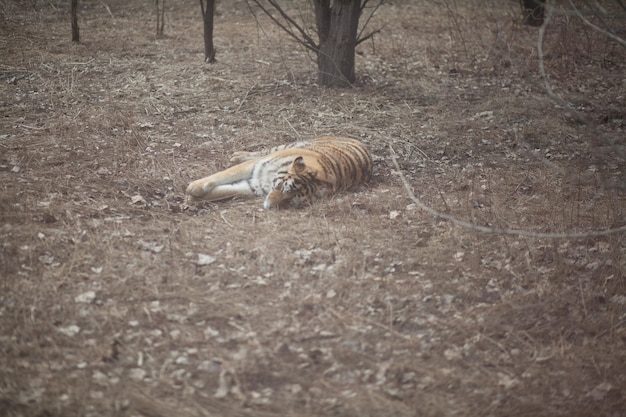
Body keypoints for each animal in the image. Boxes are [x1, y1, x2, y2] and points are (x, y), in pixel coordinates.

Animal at [185, 136, 370, 210]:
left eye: (292, 200)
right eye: (282, 187)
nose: (270, 207)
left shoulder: (253, 186)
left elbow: (226, 190)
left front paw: (193, 199)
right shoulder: (255, 166)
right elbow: (223, 175)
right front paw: (194, 188)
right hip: (284, 146)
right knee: (263, 151)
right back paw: (236, 156)